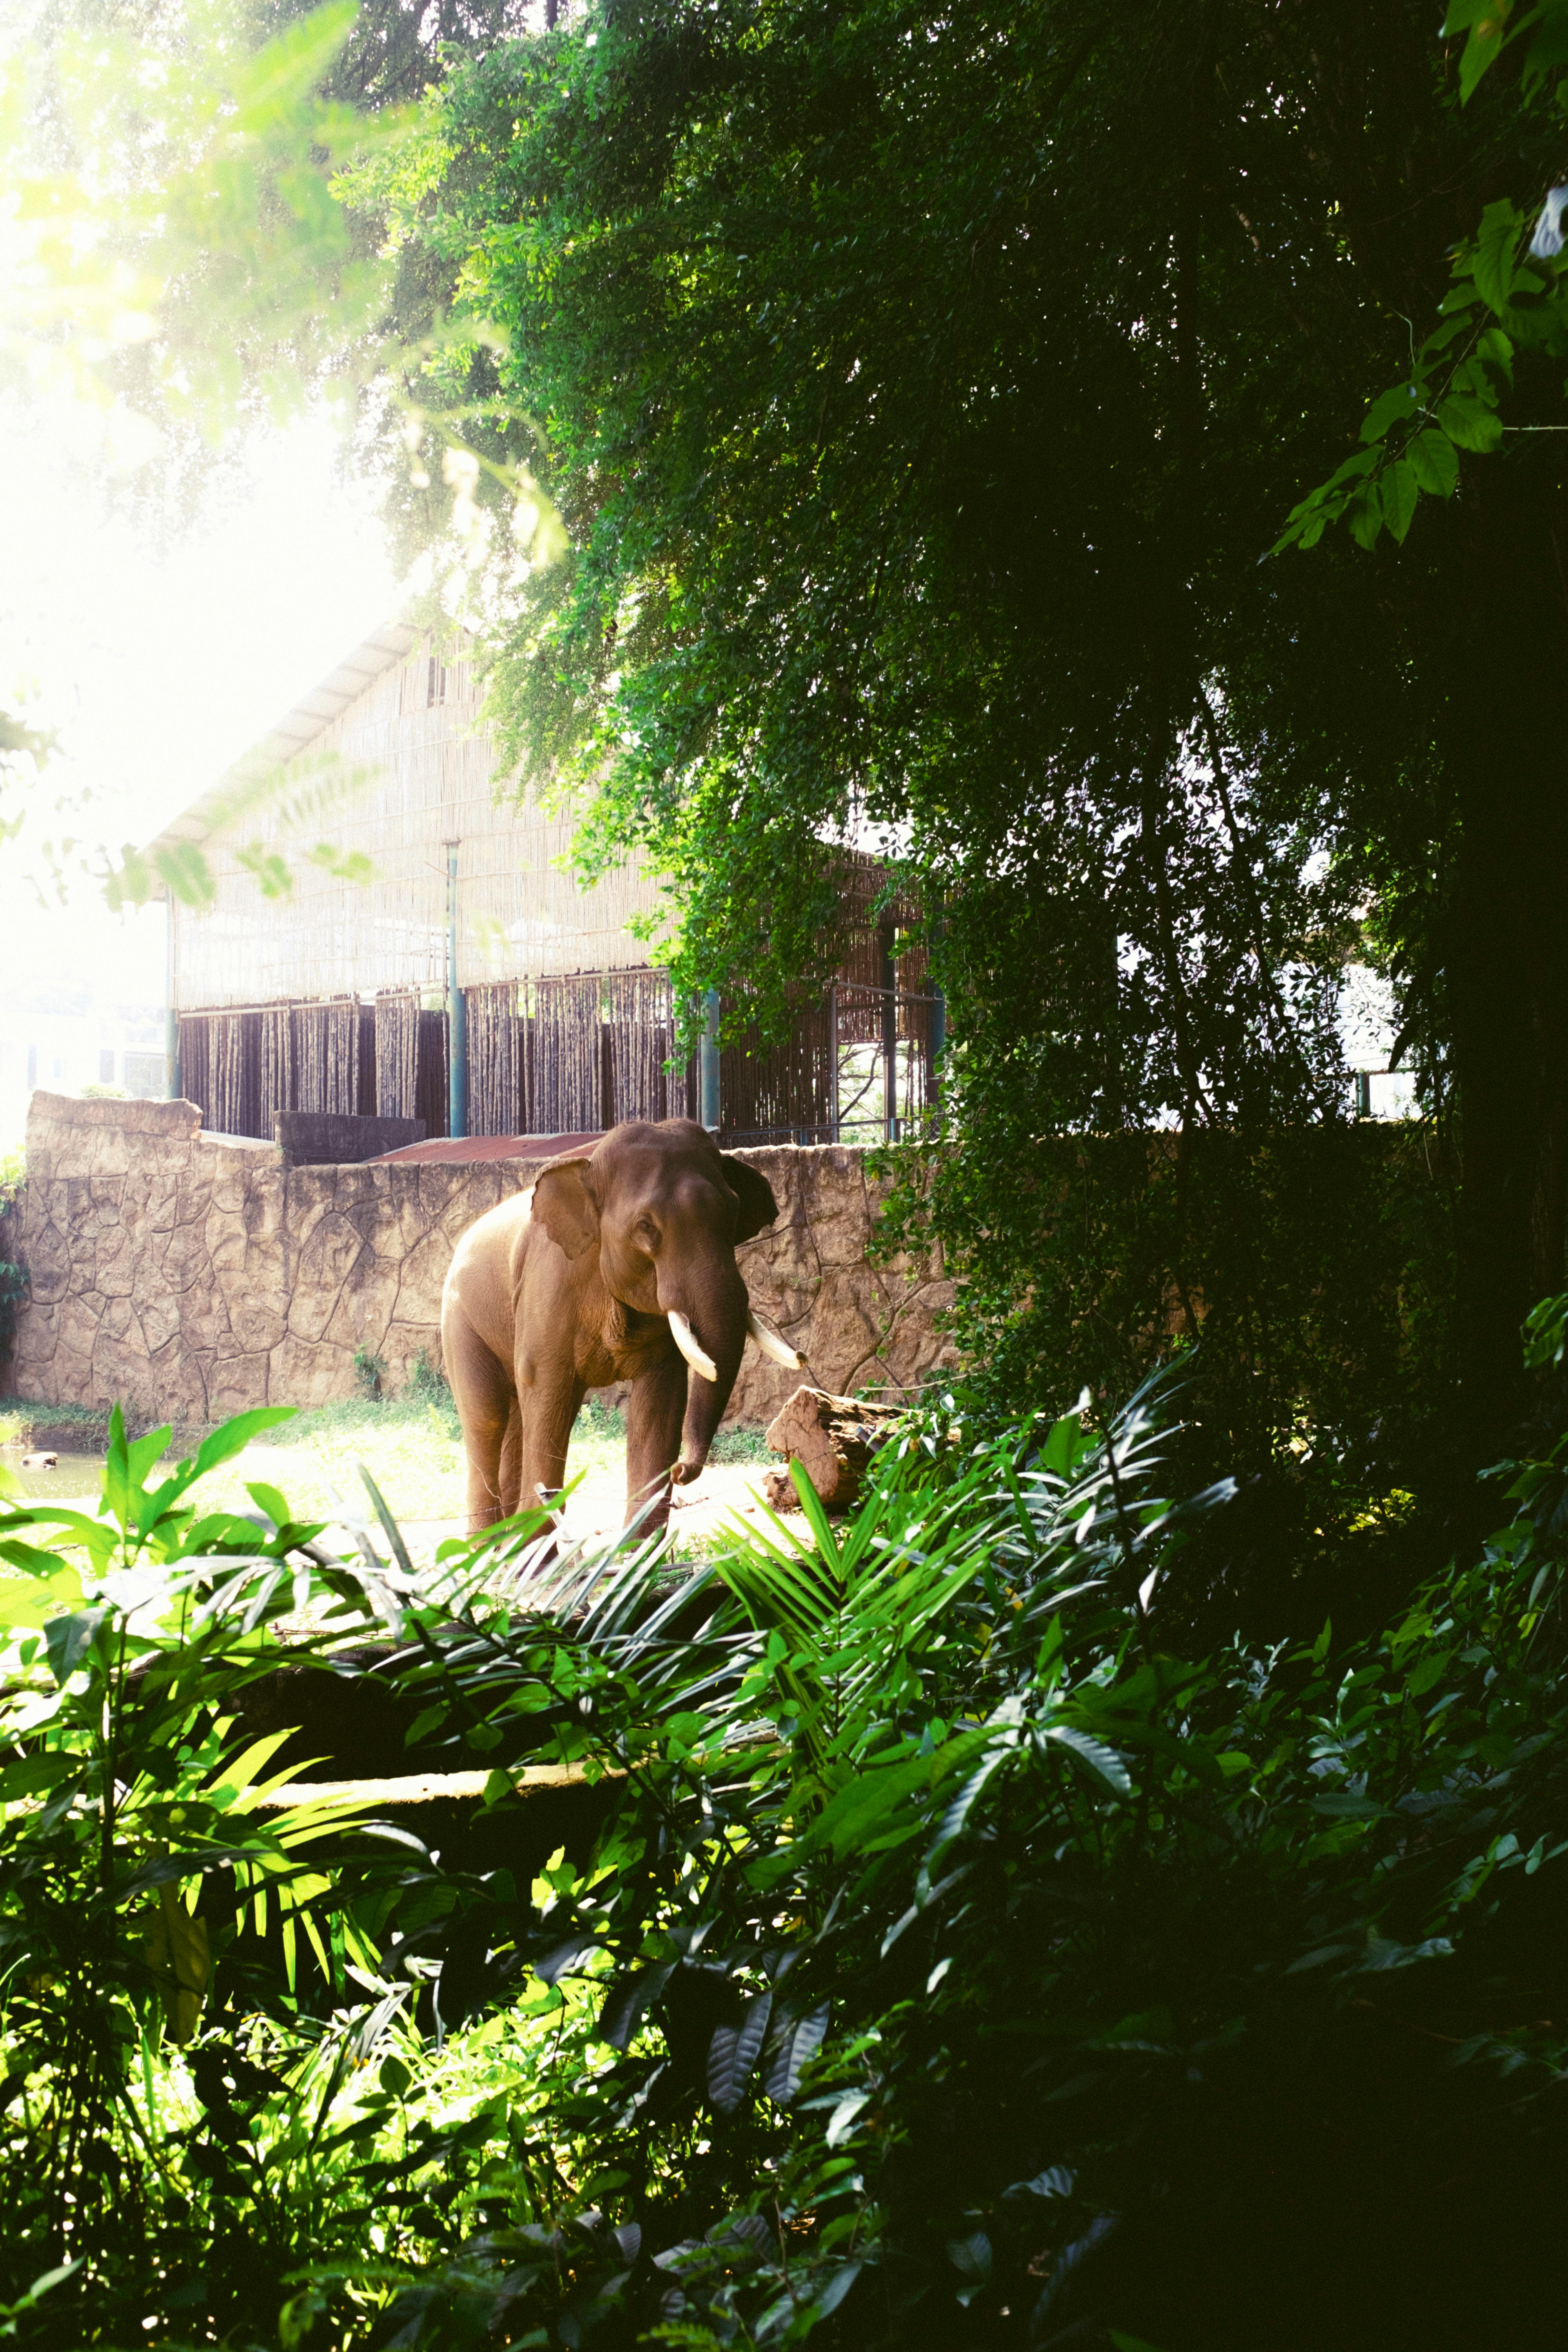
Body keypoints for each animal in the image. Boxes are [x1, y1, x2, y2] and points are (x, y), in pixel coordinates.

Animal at [439, 1117, 807, 1538]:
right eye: (645, 1227)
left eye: (733, 1213)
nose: (681, 1472)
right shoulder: (547, 1288)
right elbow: (547, 1391)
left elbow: (660, 1402)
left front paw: (640, 1553)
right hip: (460, 1319)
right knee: (488, 1417)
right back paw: (486, 1549)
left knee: (514, 1420)